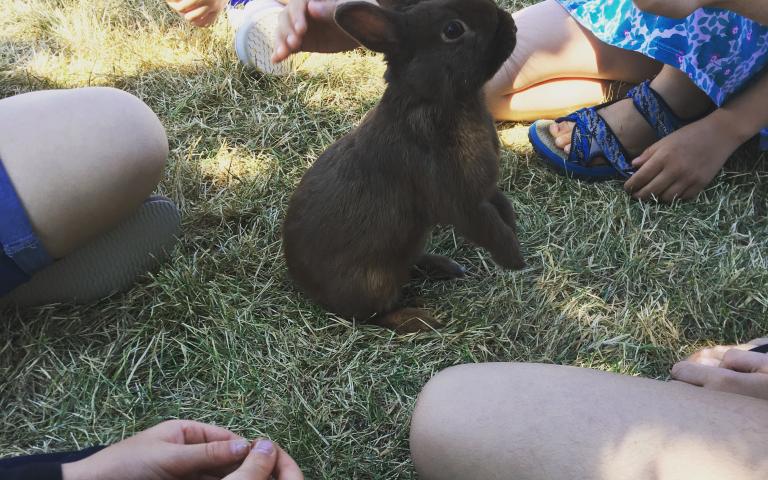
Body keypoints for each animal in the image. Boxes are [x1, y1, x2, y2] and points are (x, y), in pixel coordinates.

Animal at [284, 0, 524, 332]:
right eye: (453, 30)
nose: (512, 25)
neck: (437, 102)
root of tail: (305, 285)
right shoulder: (460, 202)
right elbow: (489, 228)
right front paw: (515, 259)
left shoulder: (485, 190)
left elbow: (502, 206)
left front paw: (514, 232)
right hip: (373, 282)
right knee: (374, 315)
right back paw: (419, 319)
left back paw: (444, 267)